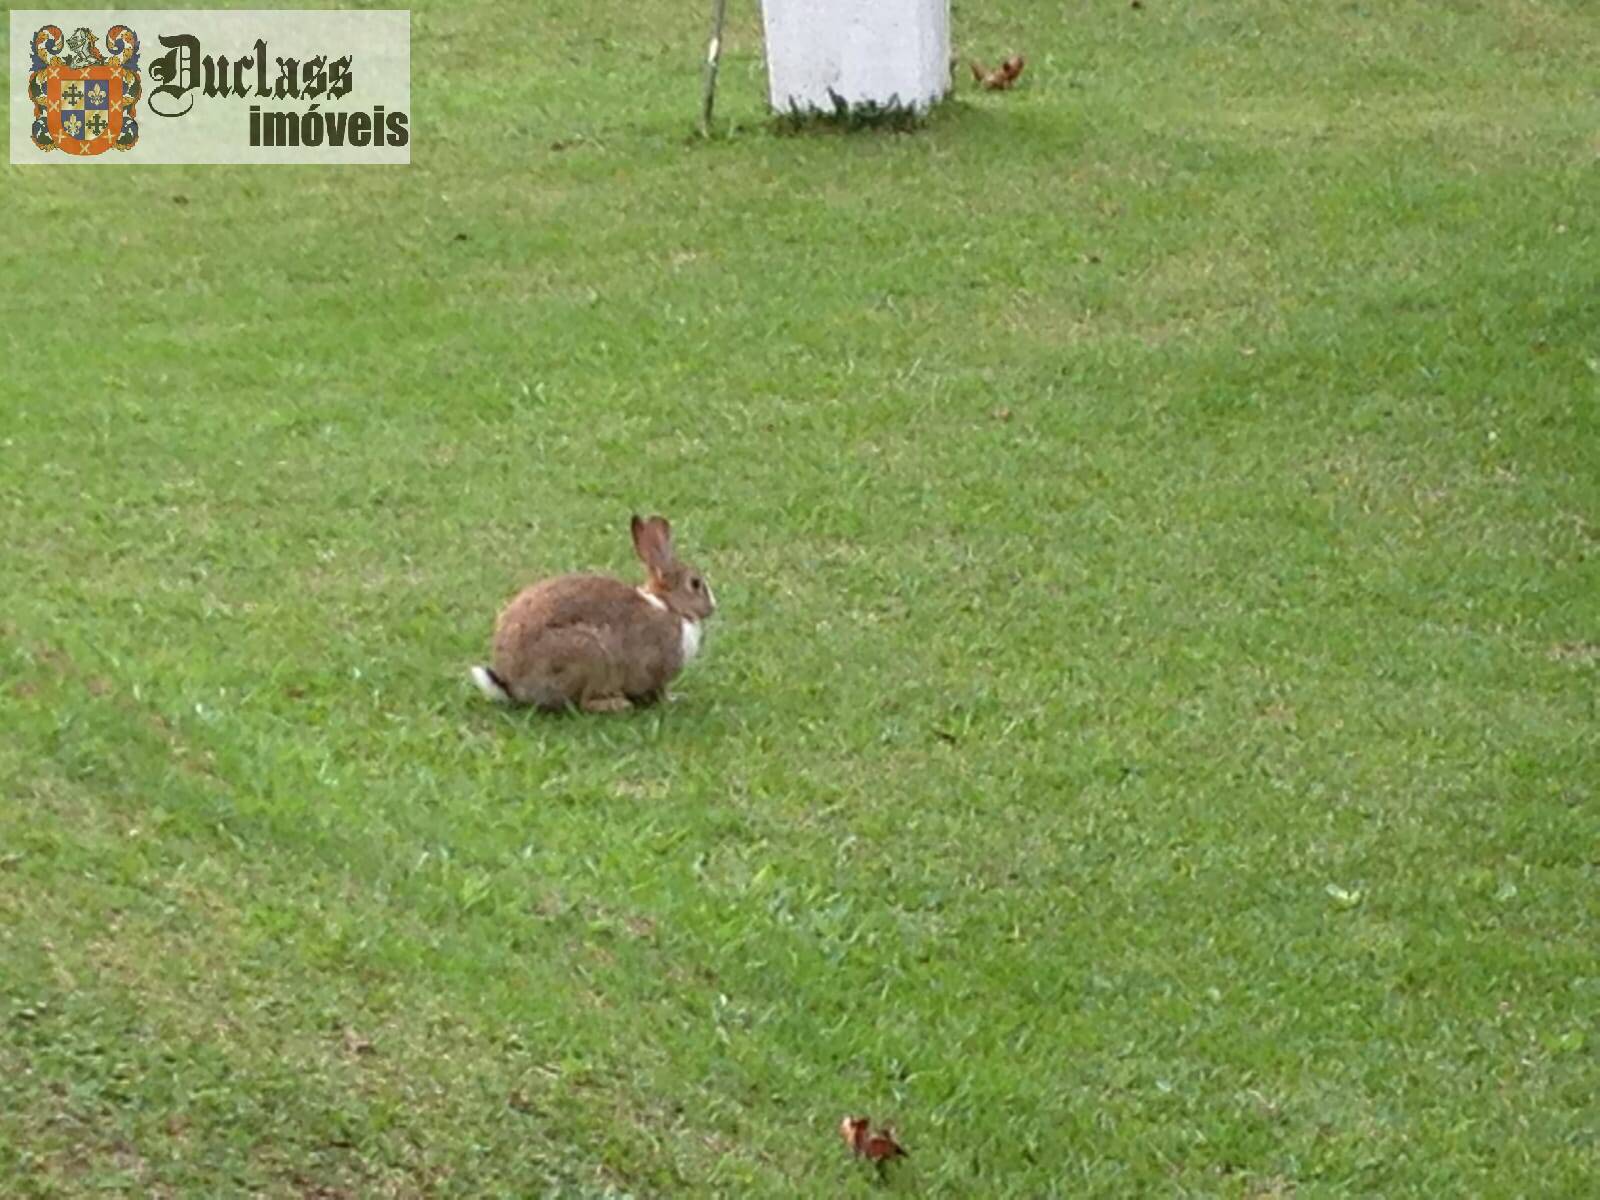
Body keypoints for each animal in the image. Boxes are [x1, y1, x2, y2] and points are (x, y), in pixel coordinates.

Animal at [464, 518, 713, 713]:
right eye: (696, 584)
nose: (713, 607)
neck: (669, 606)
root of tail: (513, 686)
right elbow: (658, 691)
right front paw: (674, 700)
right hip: (589, 657)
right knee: (583, 703)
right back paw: (617, 705)